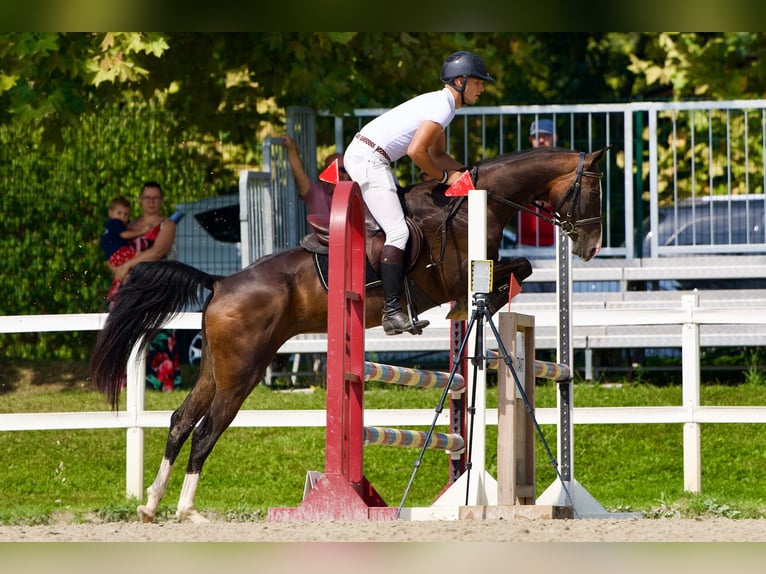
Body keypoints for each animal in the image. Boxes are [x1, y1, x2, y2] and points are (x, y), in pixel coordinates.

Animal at [90, 146, 608, 524]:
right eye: (593, 191)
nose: (589, 247)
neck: (475, 204)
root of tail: (219, 282)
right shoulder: (460, 273)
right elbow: (513, 271)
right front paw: (475, 307)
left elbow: (519, 269)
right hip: (242, 372)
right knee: (204, 431)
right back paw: (186, 511)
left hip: (217, 368)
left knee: (181, 421)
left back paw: (151, 504)